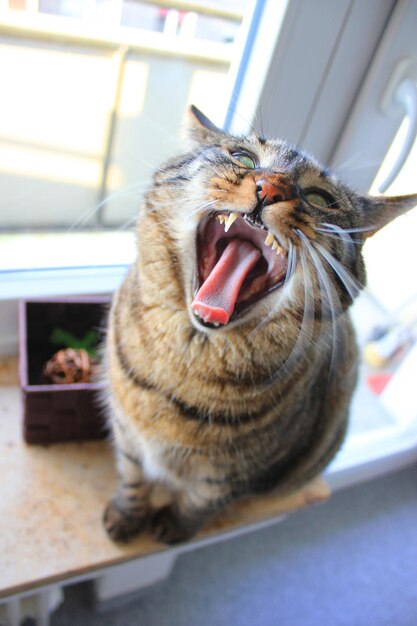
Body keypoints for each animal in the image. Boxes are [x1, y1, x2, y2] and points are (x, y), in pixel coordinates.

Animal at [102, 106, 414, 540]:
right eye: (243, 158)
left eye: (319, 198)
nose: (270, 187)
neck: (189, 360)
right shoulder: (126, 432)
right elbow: (132, 477)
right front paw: (126, 517)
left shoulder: (234, 476)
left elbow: (199, 502)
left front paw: (173, 528)